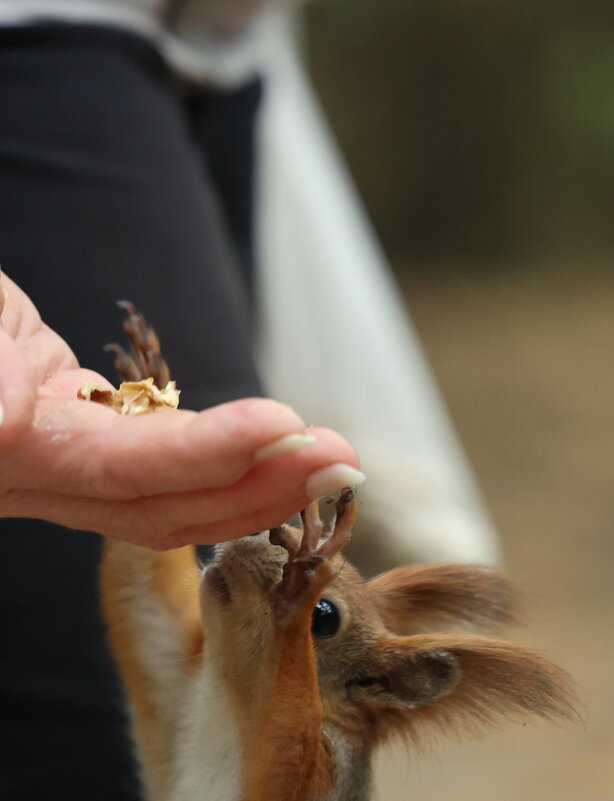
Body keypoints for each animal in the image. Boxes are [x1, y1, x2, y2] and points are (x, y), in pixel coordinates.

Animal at [84, 302, 580, 800]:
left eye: (324, 618)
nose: (256, 533)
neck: (229, 703)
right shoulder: (174, 705)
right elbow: (145, 604)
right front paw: (148, 389)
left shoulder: (318, 773)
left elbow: (286, 745)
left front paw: (295, 594)